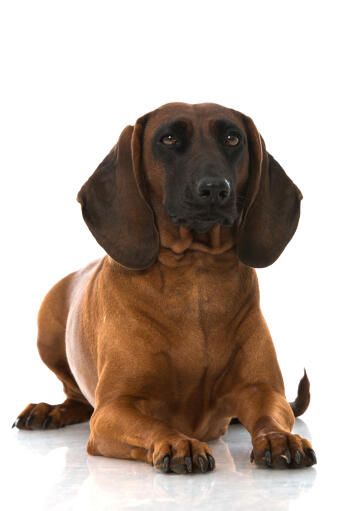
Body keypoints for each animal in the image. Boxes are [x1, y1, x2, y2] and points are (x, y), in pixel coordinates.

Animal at [13, 102, 316, 474]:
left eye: (232, 139)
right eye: (168, 139)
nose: (215, 189)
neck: (196, 279)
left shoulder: (262, 390)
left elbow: (270, 416)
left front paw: (279, 438)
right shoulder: (114, 408)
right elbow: (150, 424)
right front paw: (177, 442)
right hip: (48, 325)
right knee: (78, 399)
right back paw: (49, 410)